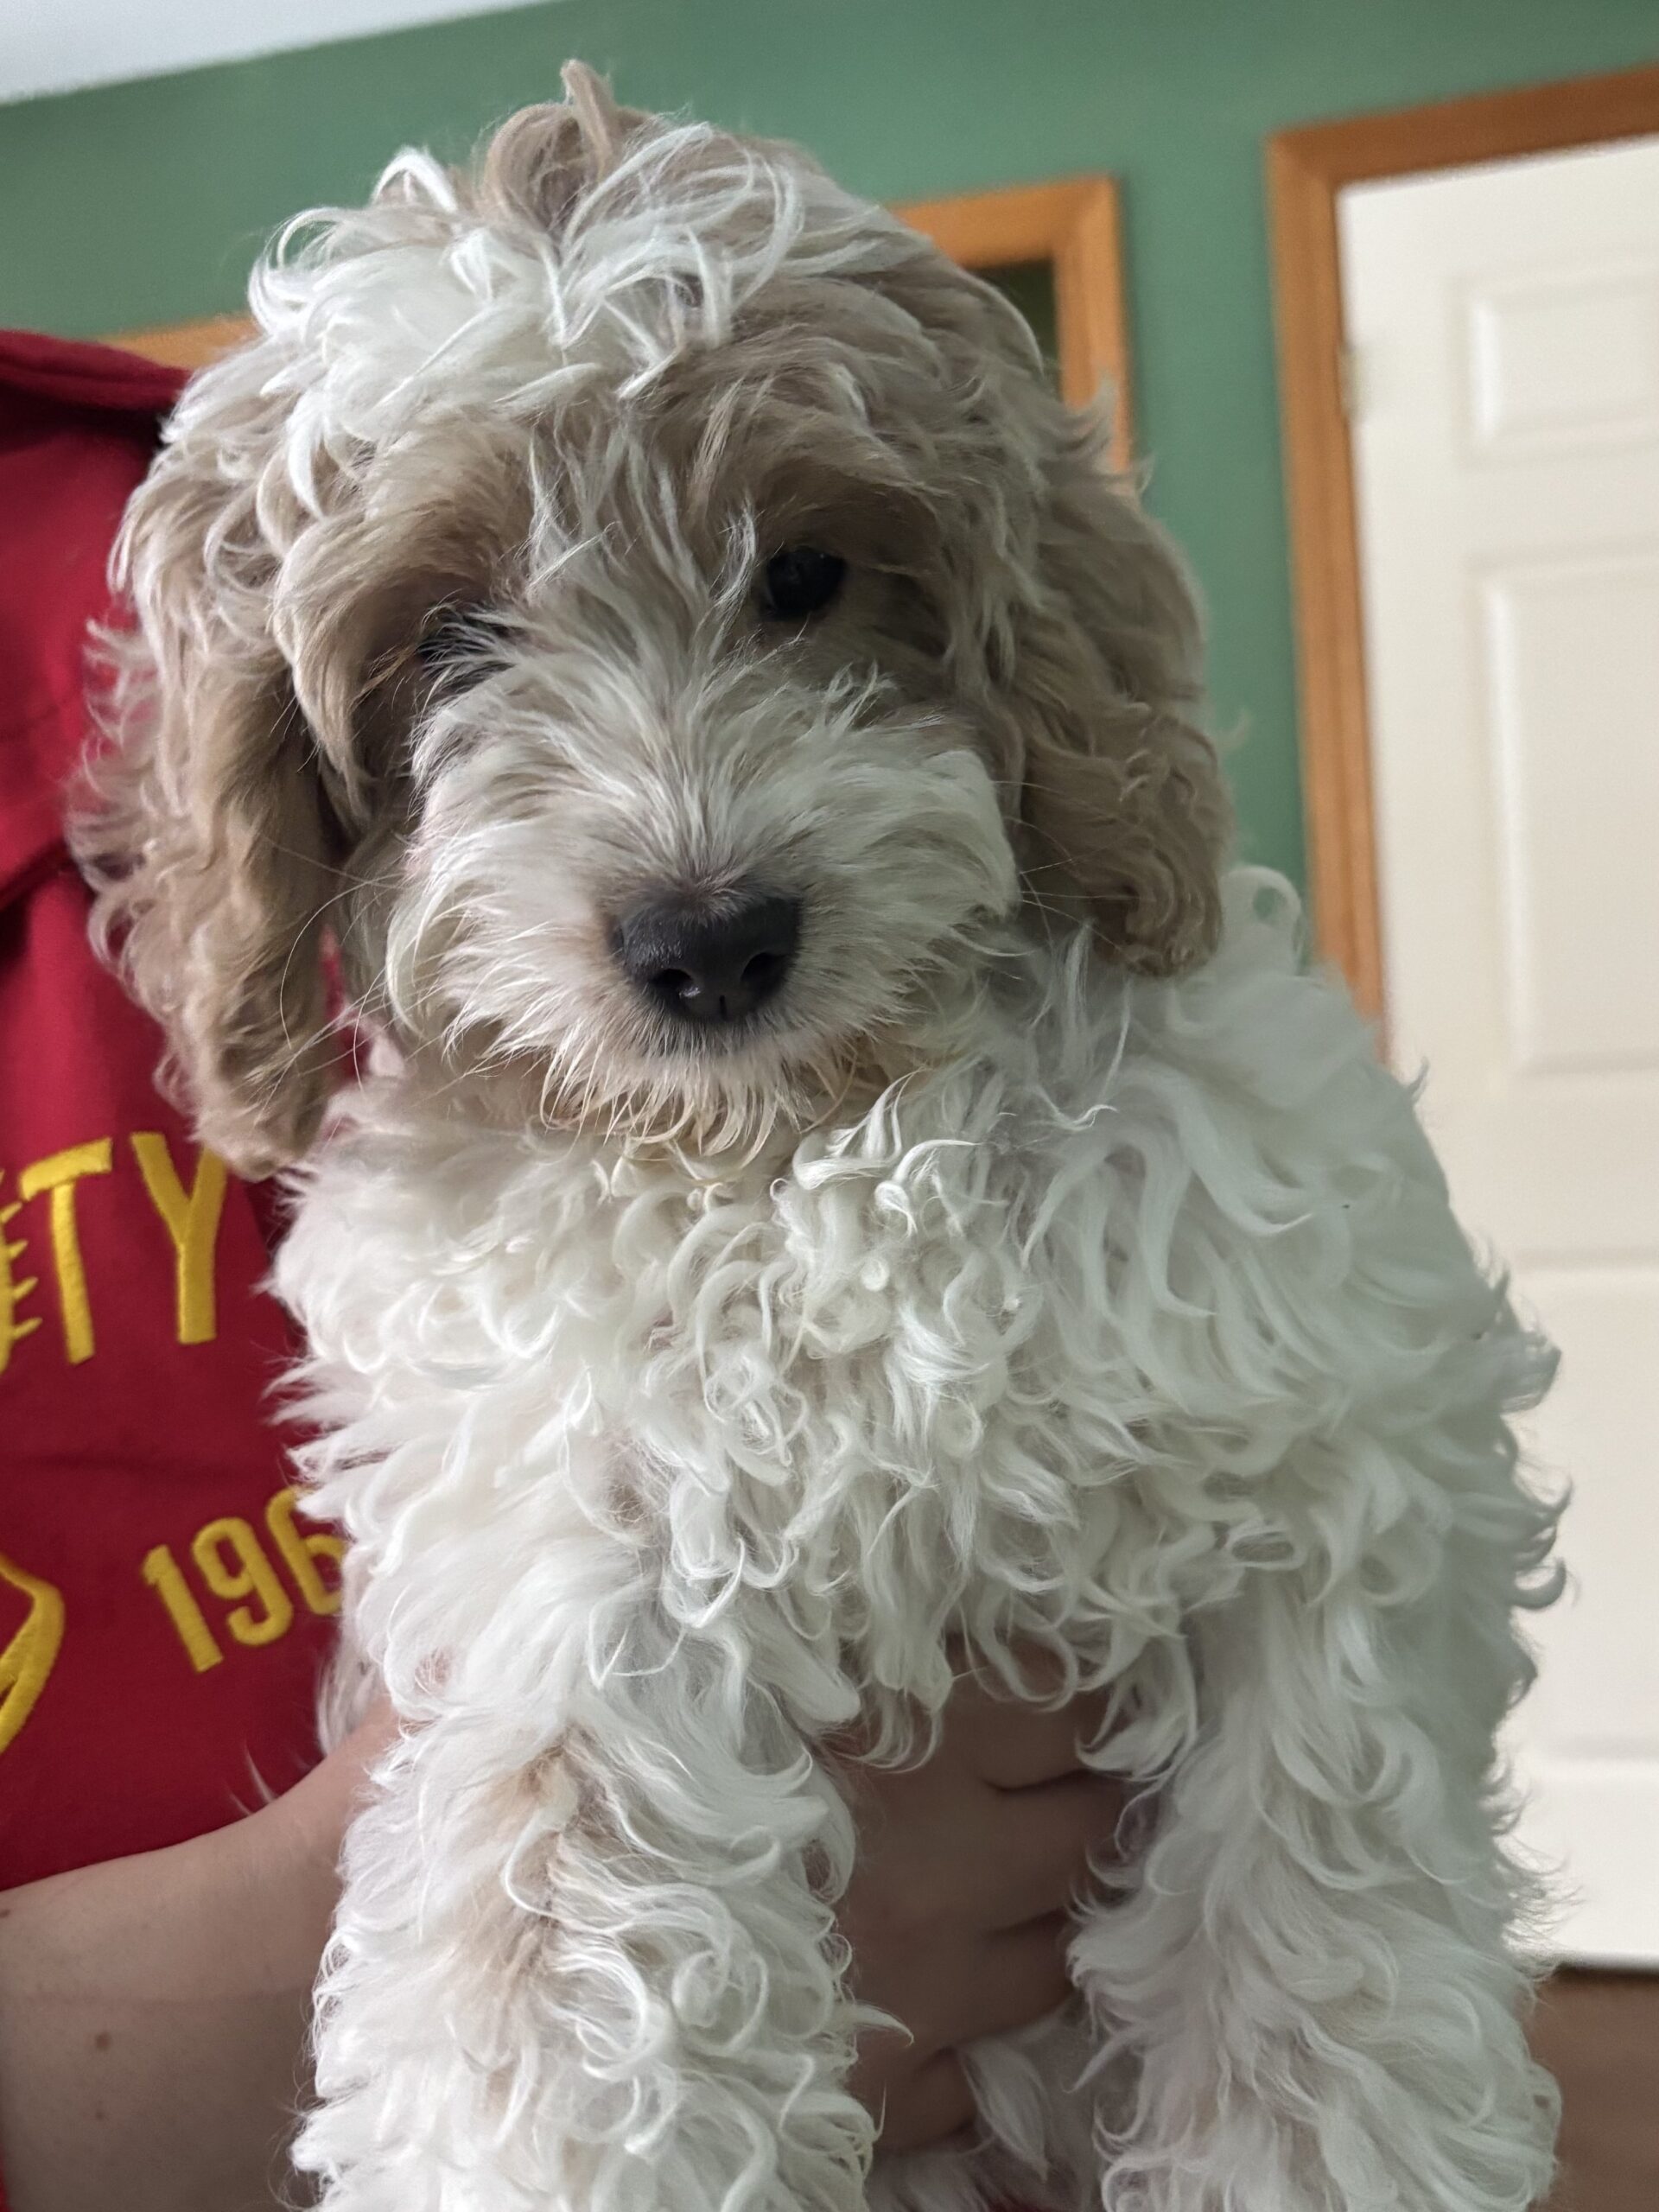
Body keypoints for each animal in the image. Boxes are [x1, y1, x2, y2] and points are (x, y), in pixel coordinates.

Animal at [81, 63, 1564, 2212]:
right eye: (447, 638)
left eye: (803, 574)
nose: (709, 938)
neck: (806, 1146)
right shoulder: (567, 1522)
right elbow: (553, 1891)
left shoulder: (1325, 1440)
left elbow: (1317, 1886)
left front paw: (1308, 2137)